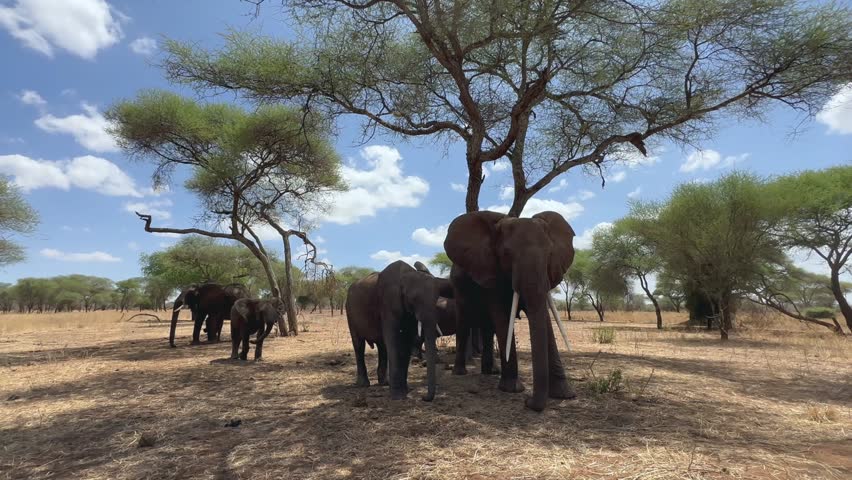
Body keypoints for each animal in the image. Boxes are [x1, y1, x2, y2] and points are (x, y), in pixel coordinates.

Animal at [346, 260, 452, 401]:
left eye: (436, 298)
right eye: (413, 299)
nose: (423, 397)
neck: (406, 275)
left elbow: (406, 342)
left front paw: (405, 391)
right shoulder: (388, 302)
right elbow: (394, 341)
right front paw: (398, 396)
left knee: (382, 347)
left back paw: (384, 383)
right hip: (349, 311)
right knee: (359, 345)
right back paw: (364, 385)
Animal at [444, 210, 575, 412]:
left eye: (549, 253)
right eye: (506, 254)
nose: (528, 402)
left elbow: (544, 317)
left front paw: (564, 394)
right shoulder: (491, 271)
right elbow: (502, 318)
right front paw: (512, 389)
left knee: (488, 328)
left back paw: (490, 371)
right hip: (459, 288)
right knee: (465, 324)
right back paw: (460, 373)